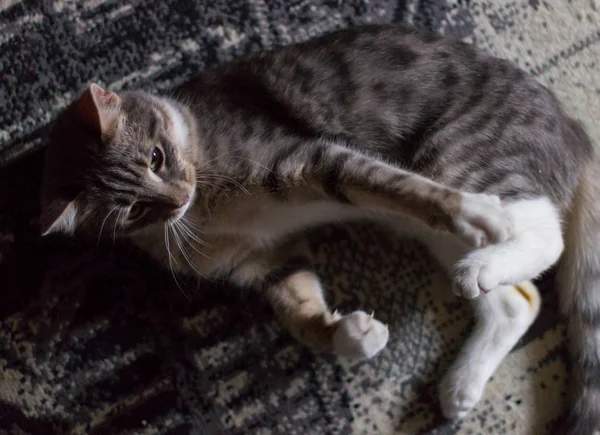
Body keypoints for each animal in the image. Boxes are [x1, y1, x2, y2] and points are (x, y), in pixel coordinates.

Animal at [39, 24, 596, 435]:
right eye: (132, 211)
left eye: (156, 158)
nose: (176, 199)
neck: (205, 211)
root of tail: (574, 127)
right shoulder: (266, 259)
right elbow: (297, 310)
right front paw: (351, 337)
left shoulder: (309, 158)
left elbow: (400, 185)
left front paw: (478, 212)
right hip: (441, 235)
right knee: (519, 301)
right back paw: (462, 378)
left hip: (462, 151)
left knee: (544, 232)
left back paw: (492, 236)